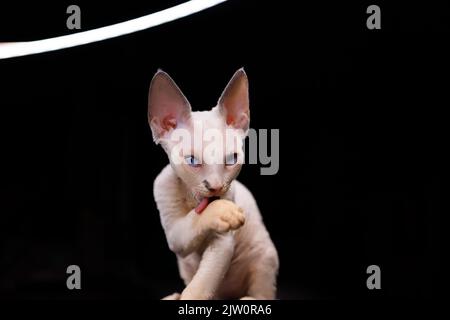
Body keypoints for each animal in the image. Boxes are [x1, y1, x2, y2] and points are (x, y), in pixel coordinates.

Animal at [149, 68, 278, 300]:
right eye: (192, 161)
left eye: (231, 159)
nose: (216, 187)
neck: (195, 199)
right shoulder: (173, 232)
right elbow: (189, 225)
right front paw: (221, 211)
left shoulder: (223, 241)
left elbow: (200, 287)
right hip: (186, 267)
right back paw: (172, 296)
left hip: (264, 256)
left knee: (262, 292)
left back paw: (248, 298)